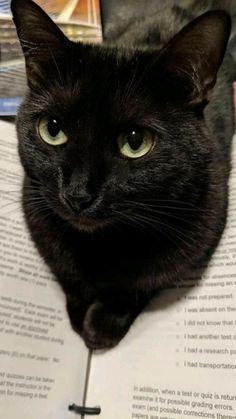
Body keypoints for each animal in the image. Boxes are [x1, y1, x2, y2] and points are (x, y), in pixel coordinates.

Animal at [10, 0, 234, 348]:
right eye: (53, 129)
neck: (102, 246)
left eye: (135, 142)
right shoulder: (35, 206)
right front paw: (79, 315)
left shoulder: (204, 225)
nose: (77, 194)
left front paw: (101, 326)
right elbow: (67, 273)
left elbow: (136, 284)